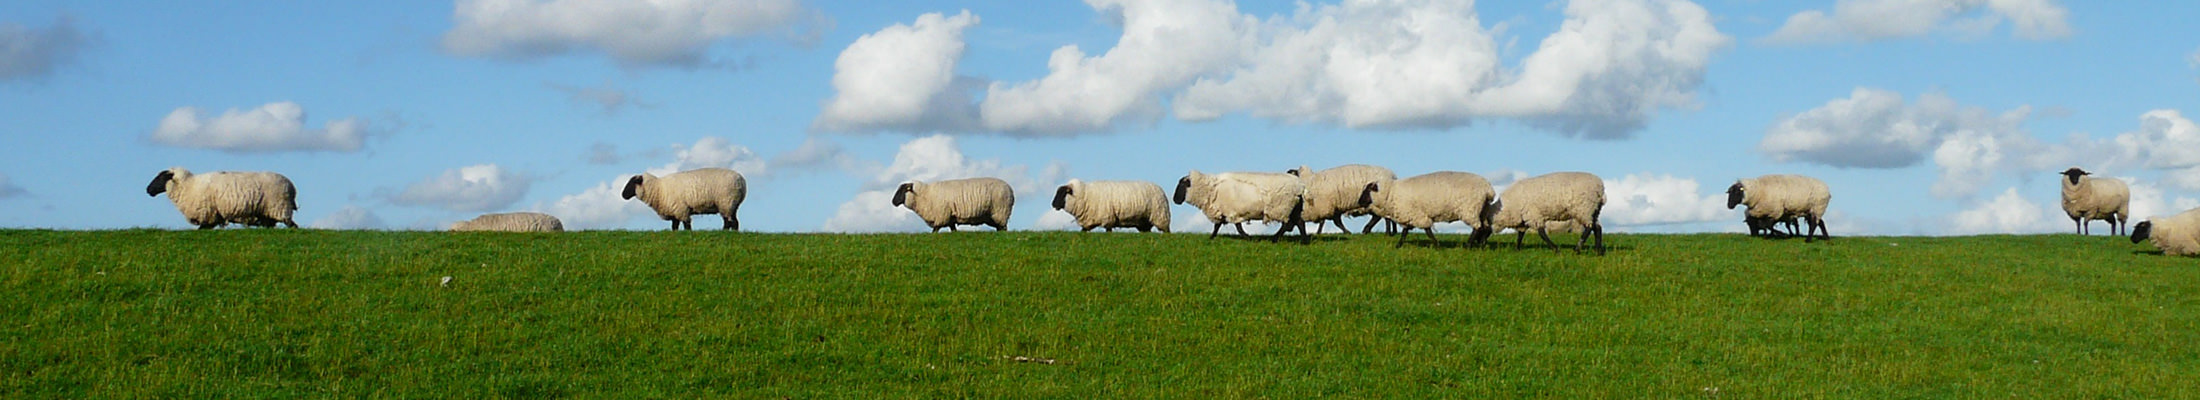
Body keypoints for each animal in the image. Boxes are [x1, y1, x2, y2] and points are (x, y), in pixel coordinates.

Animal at [146, 167, 299, 229]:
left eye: (161, 177)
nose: (148, 190)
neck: (189, 185)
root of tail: (291, 186)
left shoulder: (208, 214)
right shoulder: (214, 216)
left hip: (279, 208)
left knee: (293, 226)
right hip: (267, 215)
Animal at [620, 168, 748, 230]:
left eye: (632, 183)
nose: (623, 195)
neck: (659, 189)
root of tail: (741, 180)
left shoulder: (681, 209)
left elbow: (687, 225)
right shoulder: (674, 212)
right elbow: (674, 226)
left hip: (726, 202)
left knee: (731, 222)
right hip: (731, 205)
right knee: (732, 221)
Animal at [1170, 169, 1302, 241]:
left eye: (1181, 184)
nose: (1175, 200)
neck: (1212, 189)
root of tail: (1299, 185)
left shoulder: (1231, 210)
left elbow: (1237, 228)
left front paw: (1248, 237)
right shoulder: (1226, 210)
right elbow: (1218, 226)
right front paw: (1212, 237)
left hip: (1283, 207)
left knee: (1287, 224)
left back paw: (1275, 238)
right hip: (1292, 208)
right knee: (1298, 223)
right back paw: (1303, 240)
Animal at [1346, 171, 1504, 247]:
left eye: (1367, 190)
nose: (1358, 201)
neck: (1391, 193)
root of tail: (1488, 189)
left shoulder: (1417, 215)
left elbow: (1427, 231)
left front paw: (1437, 245)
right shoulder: (1410, 214)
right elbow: (1405, 232)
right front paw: (1398, 245)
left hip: (1470, 209)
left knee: (1477, 227)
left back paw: (1468, 245)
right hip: (1482, 210)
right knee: (1485, 228)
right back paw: (1482, 244)